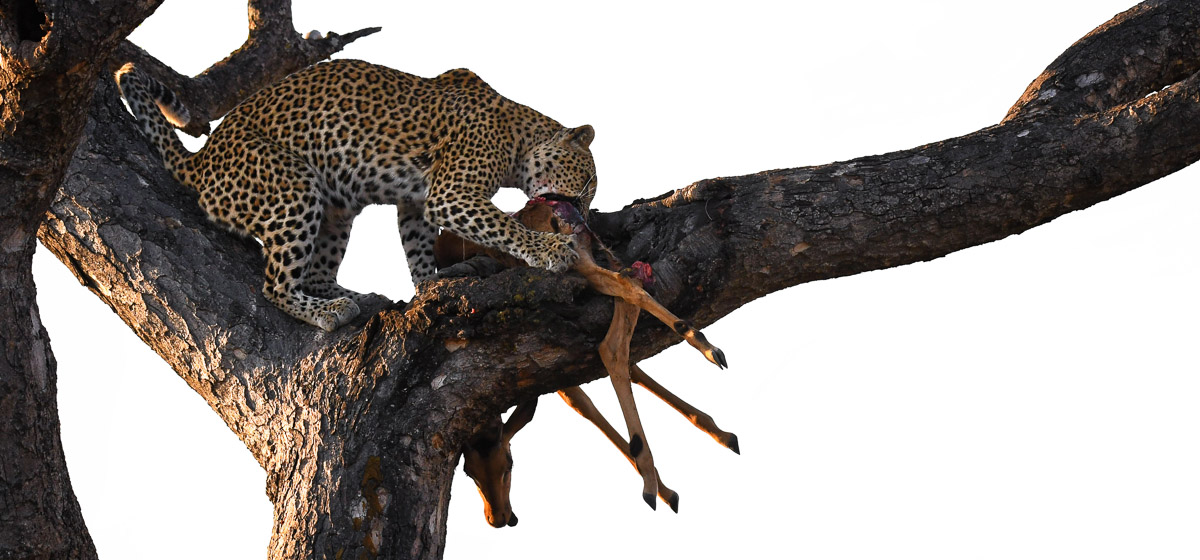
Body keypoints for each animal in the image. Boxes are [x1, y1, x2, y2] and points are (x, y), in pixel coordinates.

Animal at [116, 59, 598, 332]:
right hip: (295, 185)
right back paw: (326, 312)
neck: (520, 134)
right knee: (275, 285)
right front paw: (550, 249)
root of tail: (201, 159)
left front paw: (430, 283)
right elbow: (503, 225)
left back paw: (358, 297)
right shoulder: (452, 193)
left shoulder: (417, 202)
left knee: (315, 272)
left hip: (336, 212)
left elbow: (417, 246)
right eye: (590, 183)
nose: (585, 217)